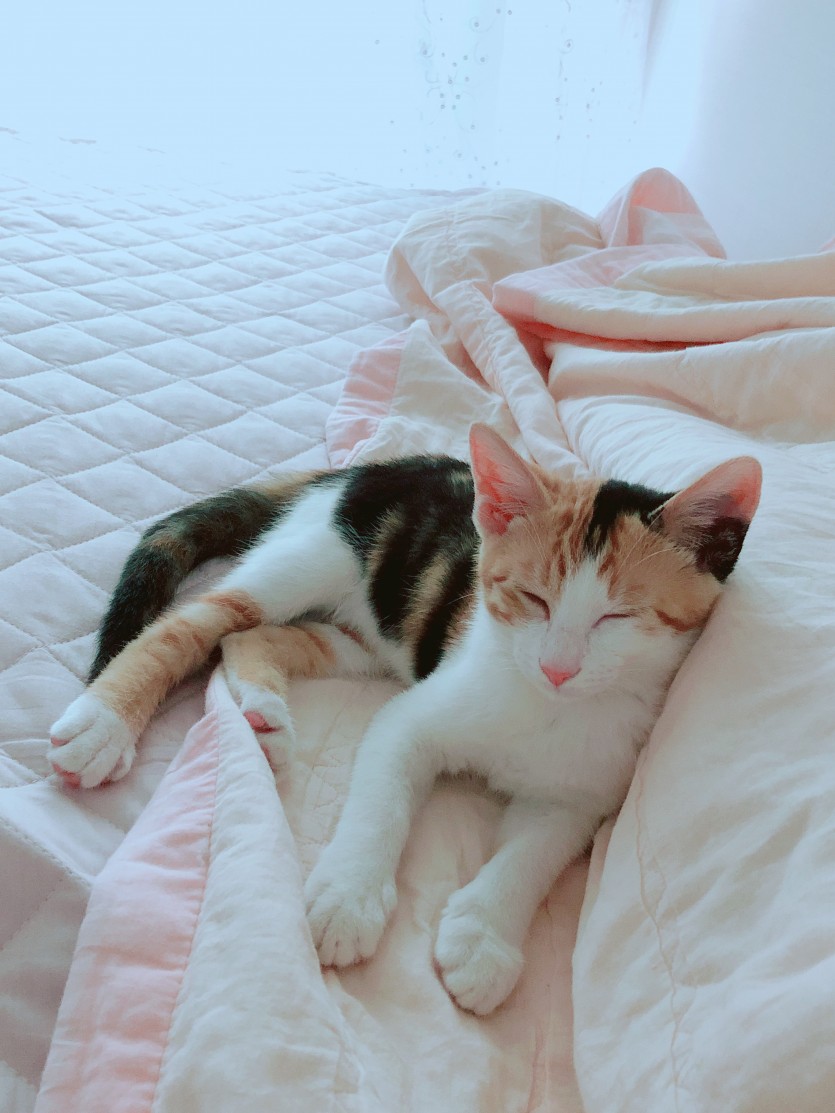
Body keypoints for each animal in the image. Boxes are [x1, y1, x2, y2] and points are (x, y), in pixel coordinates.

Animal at [48, 424, 761, 1015]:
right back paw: (104, 721)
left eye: (619, 617)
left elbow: (536, 851)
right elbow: (382, 800)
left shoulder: (585, 791)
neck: (549, 710)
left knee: (257, 636)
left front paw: (483, 937)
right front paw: (348, 899)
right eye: (531, 598)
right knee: (197, 623)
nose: (557, 668)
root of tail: (367, 468)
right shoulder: (416, 716)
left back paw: (261, 711)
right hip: (313, 559)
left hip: (368, 635)